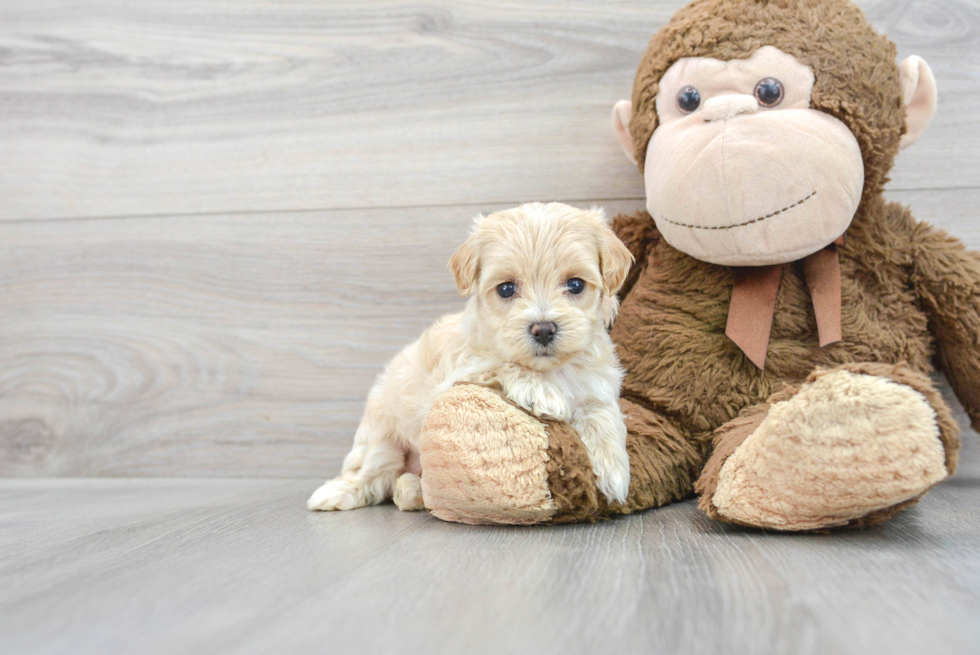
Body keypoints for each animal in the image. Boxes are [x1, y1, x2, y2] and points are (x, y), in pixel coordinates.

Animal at [308, 201, 636, 512]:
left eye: (576, 284)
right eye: (506, 289)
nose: (543, 329)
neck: (551, 369)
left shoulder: (598, 383)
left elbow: (603, 414)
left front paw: (614, 472)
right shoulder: (460, 371)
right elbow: (500, 364)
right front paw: (540, 392)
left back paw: (410, 491)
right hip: (382, 438)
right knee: (371, 474)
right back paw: (335, 494)